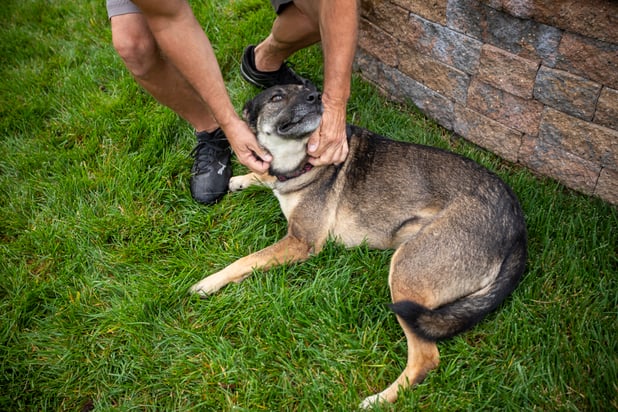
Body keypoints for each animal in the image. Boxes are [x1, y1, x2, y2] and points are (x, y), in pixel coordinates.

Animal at [189, 83, 524, 406]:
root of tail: (517, 225)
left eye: (305, 88)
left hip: (406, 272)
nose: (316, 96)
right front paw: (245, 178)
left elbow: (246, 260)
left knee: (426, 358)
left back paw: (379, 399)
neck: (300, 159)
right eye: (277, 96)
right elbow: (266, 176)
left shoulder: (301, 242)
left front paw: (209, 282)